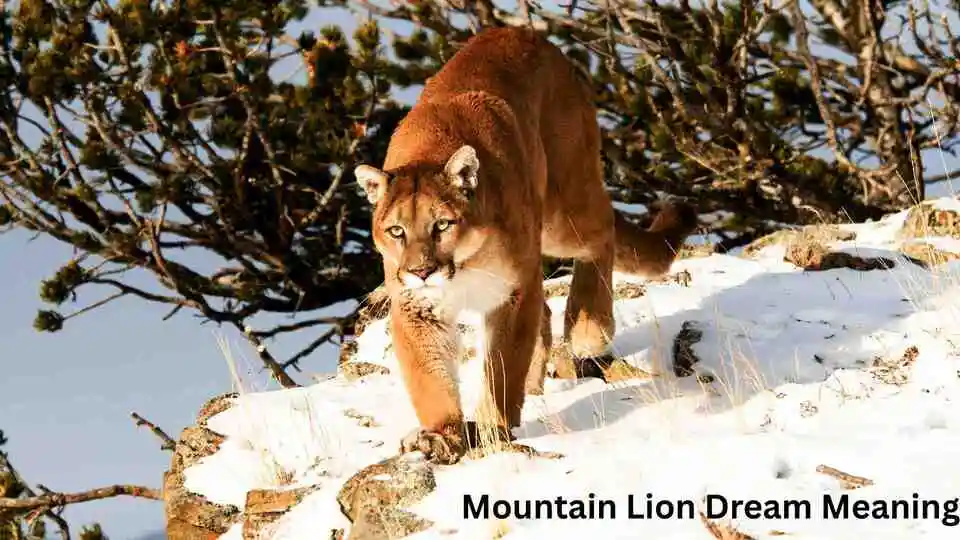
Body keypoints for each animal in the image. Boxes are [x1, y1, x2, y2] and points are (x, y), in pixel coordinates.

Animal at [353, 26, 698, 465]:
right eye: (397, 231)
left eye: (442, 224)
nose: (421, 271)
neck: (463, 266)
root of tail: (521, 30)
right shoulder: (417, 307)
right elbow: (428, 377)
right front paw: (440, 435)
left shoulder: (512, 292)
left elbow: (502, 366)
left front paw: (494, 426)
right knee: (548, 307)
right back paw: (536, 383)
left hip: (563, 210)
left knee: (602, 231)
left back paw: (588, 327)